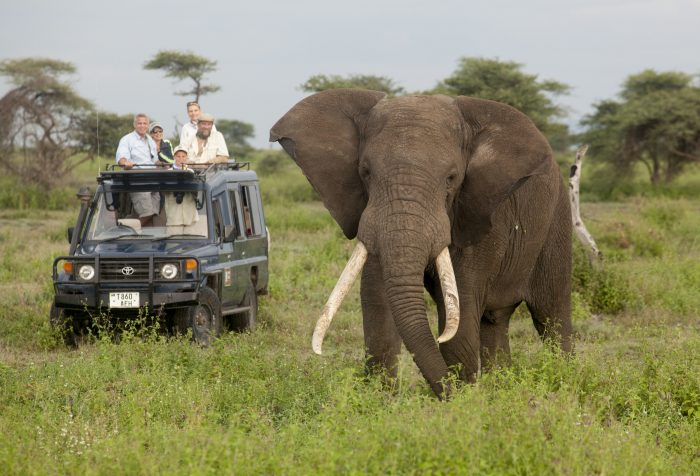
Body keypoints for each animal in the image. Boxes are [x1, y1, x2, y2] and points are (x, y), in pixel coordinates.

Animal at [270, 89, 572, 398]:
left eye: (451, 178)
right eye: (365, 172)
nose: (449, 394)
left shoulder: (480, 212)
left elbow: (460, 312)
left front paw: (464, 401)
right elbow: (377, 301)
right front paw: (383, 399)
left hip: (558, 220)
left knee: (552, 315)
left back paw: (563, 380)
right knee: (495, 321)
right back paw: (501, 389)